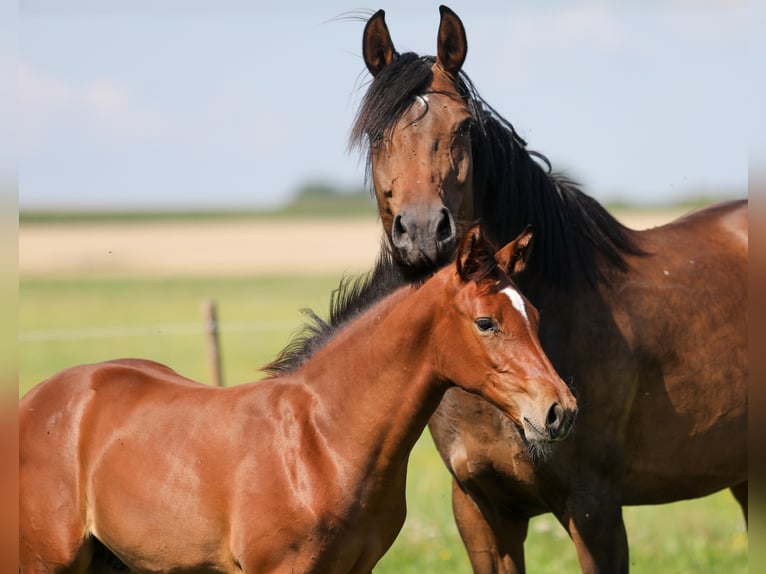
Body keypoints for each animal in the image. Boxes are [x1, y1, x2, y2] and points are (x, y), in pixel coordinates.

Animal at [21, 227, 580, 572]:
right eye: (486, 322)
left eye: (533, 313)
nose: (560, 412)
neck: (322, 442)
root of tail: (34, 401)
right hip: (46, 560)